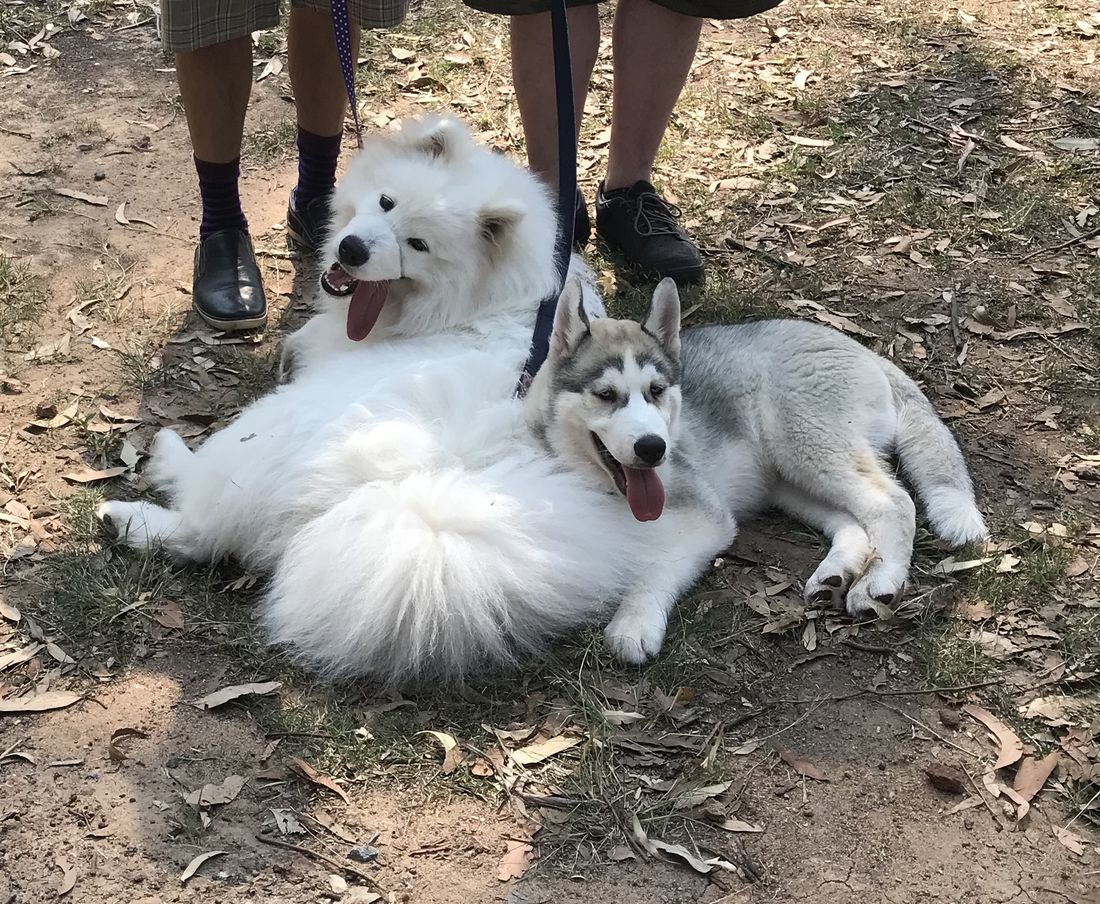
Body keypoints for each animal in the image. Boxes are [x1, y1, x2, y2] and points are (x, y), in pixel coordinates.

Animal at [523, 279, 990, 659]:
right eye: (605, 395)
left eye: (656, 391)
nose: (655, 449)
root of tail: (859, 347)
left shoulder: (709, 519)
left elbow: (655, 566)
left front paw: (634, 621)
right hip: (790, 480)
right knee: (853, 521)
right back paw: (835, 574)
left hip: (806, 446)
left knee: (893, 502)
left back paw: (881, 580)